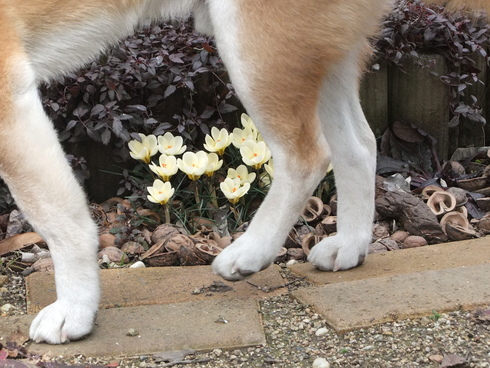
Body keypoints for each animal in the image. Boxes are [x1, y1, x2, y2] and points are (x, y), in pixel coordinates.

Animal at [0, 0, 488, 344]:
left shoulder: (11, 98)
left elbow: (60, 220)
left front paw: (75, 310)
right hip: (313, 52)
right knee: (358, 145)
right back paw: (349, 246)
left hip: (258, 49)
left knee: (308, 156)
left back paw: (252, 252)